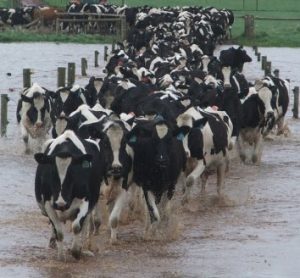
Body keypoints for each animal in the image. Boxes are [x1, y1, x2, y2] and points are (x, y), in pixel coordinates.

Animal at [34, 129, 105, 260]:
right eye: (52, 171)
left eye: (73, 171)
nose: (60, 203)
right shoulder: (48, 204)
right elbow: (59, 232)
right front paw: (61, 256)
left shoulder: (86, 200)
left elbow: (77, 226)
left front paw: (76, 251)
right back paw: (53, 242)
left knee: (85, 224)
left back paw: (84, 247)